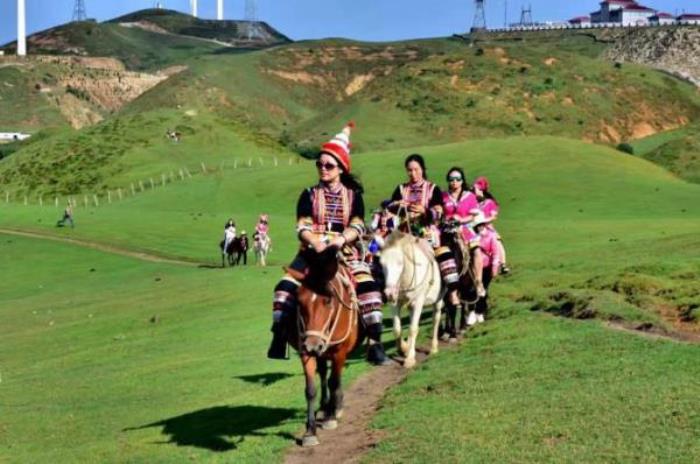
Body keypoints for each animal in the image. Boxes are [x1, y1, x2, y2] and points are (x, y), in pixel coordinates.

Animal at [284, 248, 360, 448]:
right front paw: (310, 431)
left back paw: (335, 407)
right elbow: (310, 390)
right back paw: (326, 406)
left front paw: (331, 417)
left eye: (327, 300)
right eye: (299, 301)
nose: (312, 344)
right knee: (324, 373)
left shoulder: (339, 351)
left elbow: (335, 382)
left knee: (335, 378)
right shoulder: (305, 353)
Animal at [380, 230, 446, 368]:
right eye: (382, 264)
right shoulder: (395, 304)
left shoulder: (418, 303)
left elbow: (413, 329)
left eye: (400, 263)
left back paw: (433, 348)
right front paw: (404, 348)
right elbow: (397, 329)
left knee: (435, 320)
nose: (389, 293)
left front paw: (410, 359)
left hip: (438, 301)